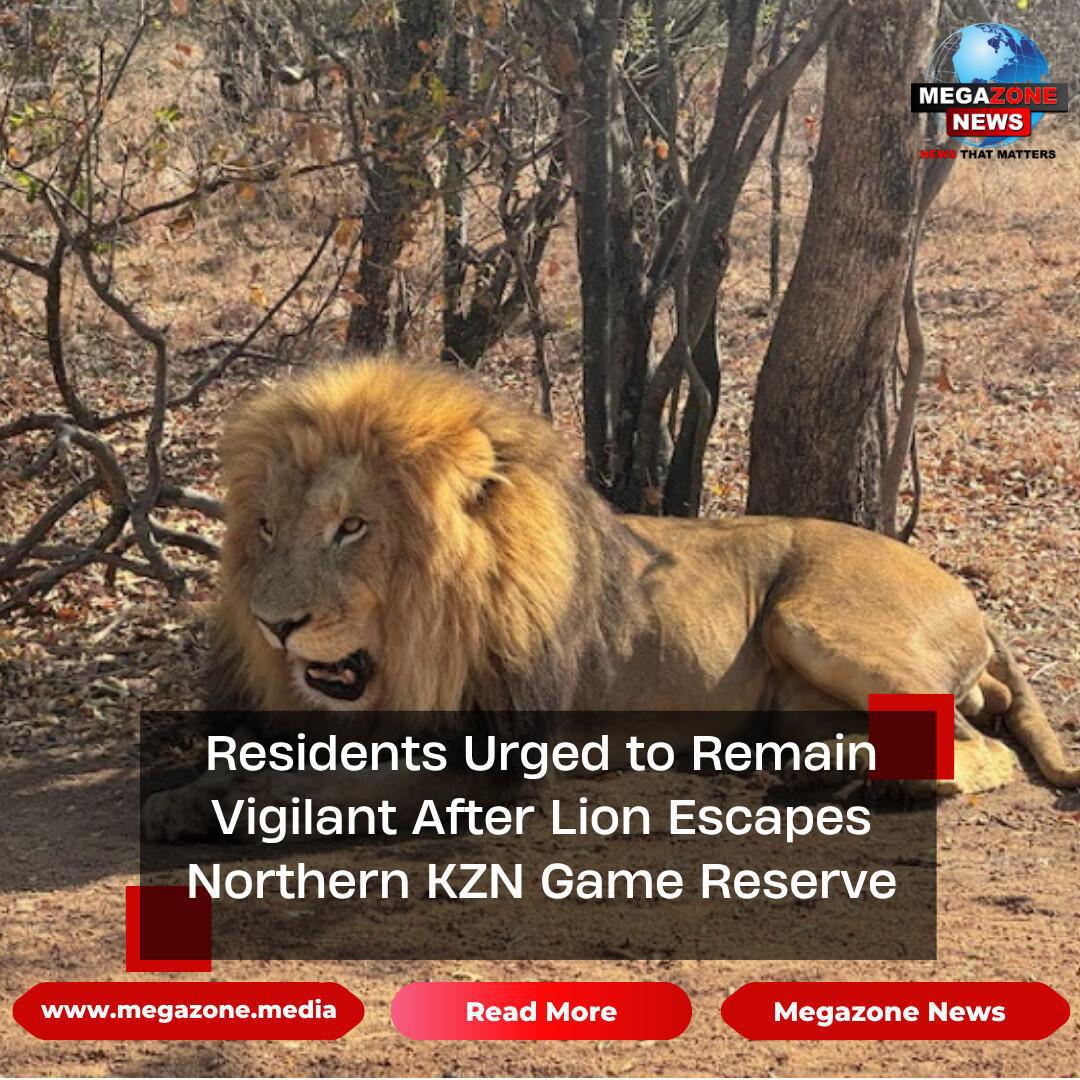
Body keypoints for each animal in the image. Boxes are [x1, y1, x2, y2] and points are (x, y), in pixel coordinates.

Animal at [143, 359, 1078, 839]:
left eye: (352, 528)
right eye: (267, 527)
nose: (273, 623)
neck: (417, 646)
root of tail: (967, 593)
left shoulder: (489, 762)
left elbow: (321, 791)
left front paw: (188, 806)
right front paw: (186, 788)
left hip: (812, 620)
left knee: (977, 750)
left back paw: (883, 788)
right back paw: (806, 775)